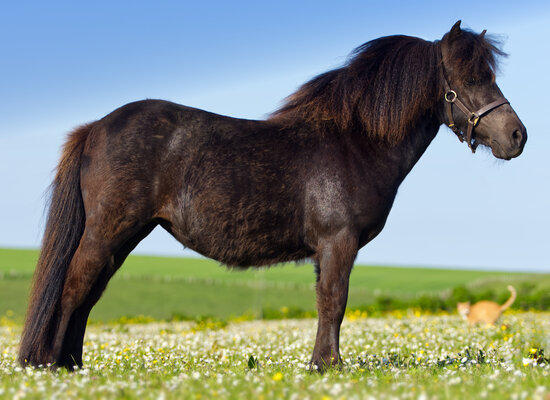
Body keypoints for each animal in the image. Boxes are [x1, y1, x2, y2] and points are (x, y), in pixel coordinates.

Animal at [20, 21, 528, 372]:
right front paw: (329, 367)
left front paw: (320, 364)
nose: (518, 136)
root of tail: (96, 127)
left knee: (90, 292)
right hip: (108, 231)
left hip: (124, 236)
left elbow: (327, 303)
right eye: (470, 78)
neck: (353, 142)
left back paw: (72, 365)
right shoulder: (338, 243)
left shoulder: (328, 249)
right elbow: (335, 302)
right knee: (75, 287)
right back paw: (51, 365)